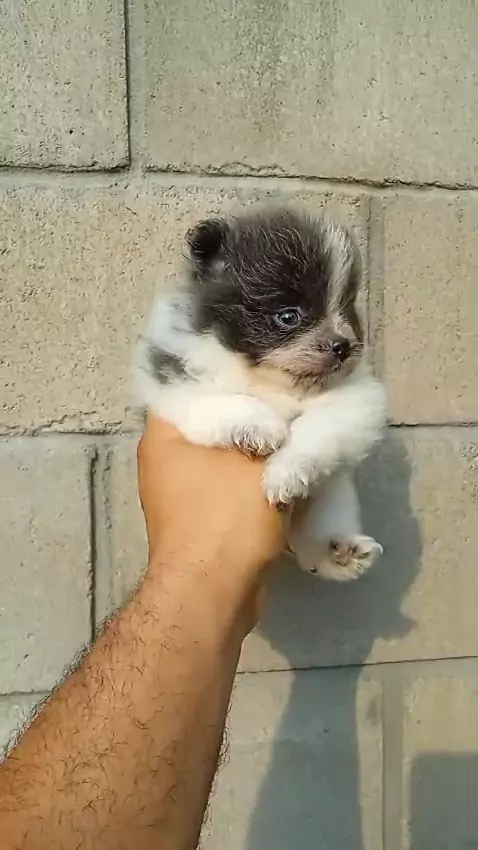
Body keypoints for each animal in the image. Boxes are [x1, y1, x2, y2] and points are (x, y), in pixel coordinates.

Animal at [135, 207, 387, 581]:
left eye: (347, 310)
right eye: (288, 316)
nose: (342, 346)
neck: (271, 381)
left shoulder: (355, 399)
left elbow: (317, 429)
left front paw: (287, 471)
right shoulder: (174, 384)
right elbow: (223, 401)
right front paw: (260, 427)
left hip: (334, 496)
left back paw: (341, 551)